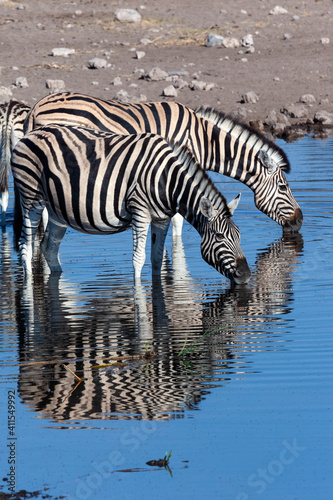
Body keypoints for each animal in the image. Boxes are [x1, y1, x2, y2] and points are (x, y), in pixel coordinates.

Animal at [11, 124, 250, 284]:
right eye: (219, 237)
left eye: (239, 235)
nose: (247, 276)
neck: (168, 181)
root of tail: (28, 134)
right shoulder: (140, 211)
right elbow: (138, 259)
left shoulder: (162, 219)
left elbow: (156, 259)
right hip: (31, 198)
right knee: (25, 246)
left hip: (57, 210)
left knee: (49, 247)